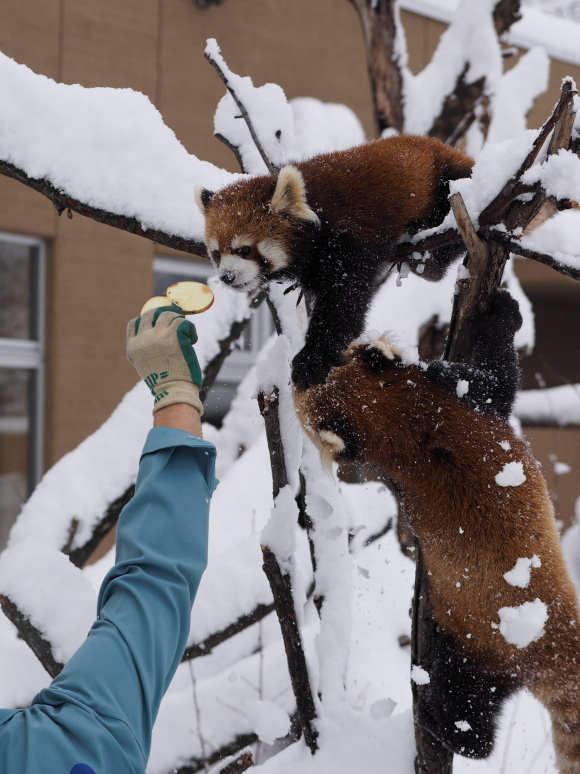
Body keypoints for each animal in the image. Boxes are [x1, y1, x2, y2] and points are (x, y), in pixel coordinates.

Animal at [197, 135, 474, 394]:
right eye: (216, 254)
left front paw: (312, 357)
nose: (227, 277)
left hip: (447, 183)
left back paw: (430, 260)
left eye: (244, 249)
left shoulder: (347, 239)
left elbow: (343, 303)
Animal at [296, 292, 580, 774]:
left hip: (476, 651)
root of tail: (555, 639)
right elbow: (502, 380)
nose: (295, 376)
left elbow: (502, 378)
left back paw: (435, 719)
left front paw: (504, 313)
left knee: (469, 716)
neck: (402, 421)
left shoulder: (461, 396)